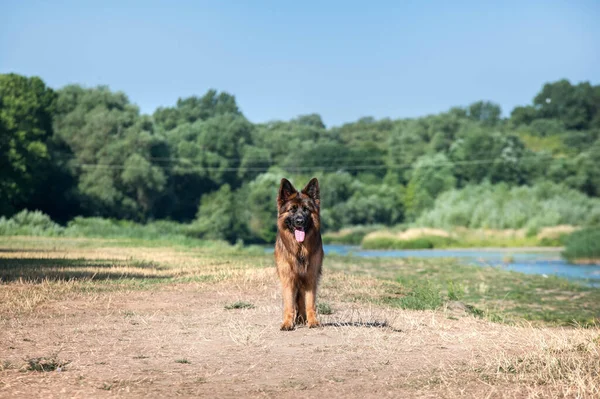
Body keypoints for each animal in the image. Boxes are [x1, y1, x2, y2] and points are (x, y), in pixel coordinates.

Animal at [276, 178, 324, 332]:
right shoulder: (288, 279)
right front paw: (287, 323)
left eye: (306, 210)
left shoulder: (310, 278)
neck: (300, 249)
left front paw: (313, 321)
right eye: (292, 209)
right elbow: (289, 304)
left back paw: (302, 318)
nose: (299, 221)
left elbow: (309, 303)